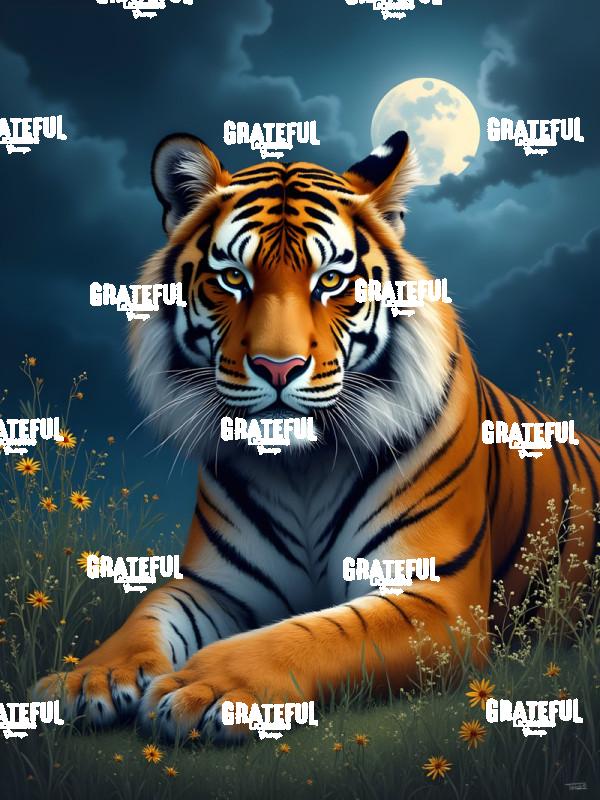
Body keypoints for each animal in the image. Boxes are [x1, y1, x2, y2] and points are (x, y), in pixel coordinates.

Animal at [34, 130, 600, 742]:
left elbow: (313, 635)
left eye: (330, 280)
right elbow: (146, 616)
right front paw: (88, 678)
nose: (277, 367)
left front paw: (206, 687)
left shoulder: (438, 598)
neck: (300, 466)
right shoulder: (215, 584)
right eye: (233, 277)